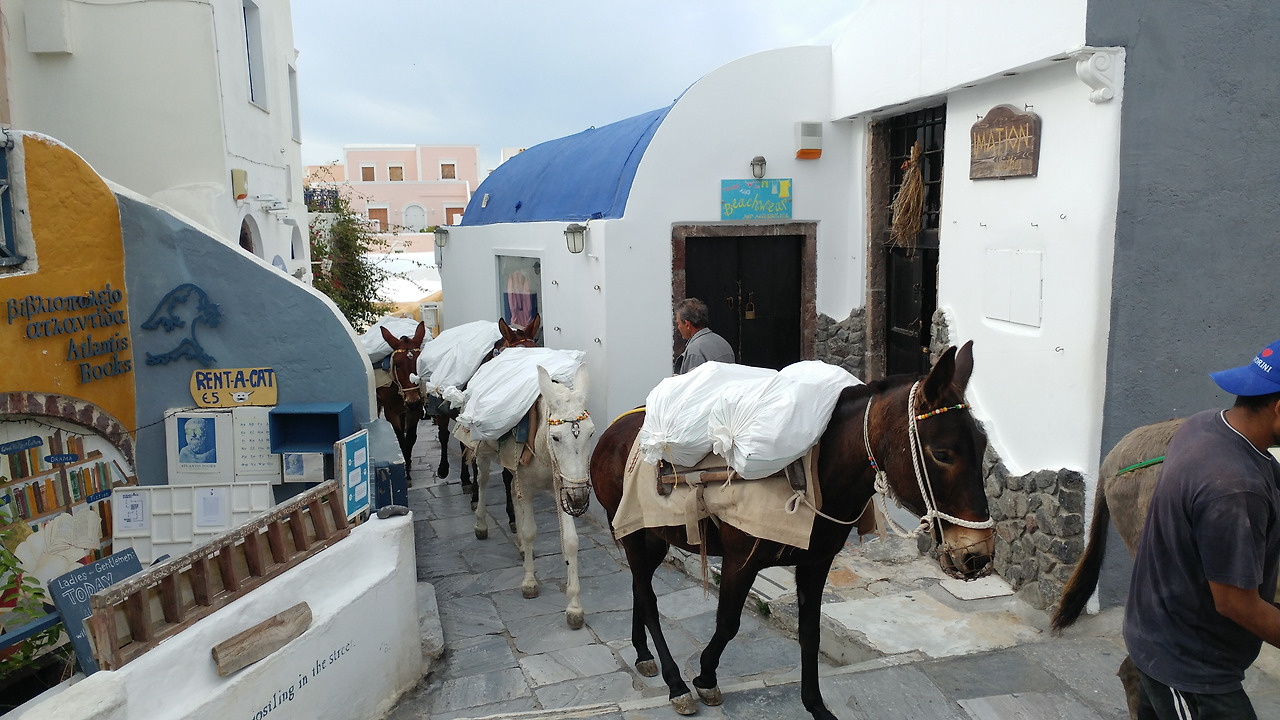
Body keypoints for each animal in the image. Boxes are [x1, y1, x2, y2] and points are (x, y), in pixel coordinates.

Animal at [374, 321, 427, 483]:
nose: (412, 401)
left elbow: (410, 438)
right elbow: (400, 439)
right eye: (397, 364)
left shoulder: (415, 411)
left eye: (420, 362)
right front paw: (404, 472)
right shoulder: (391, 412)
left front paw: (408, 466)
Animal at [471, 362, 594, 629]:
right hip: (483, 451)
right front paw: (529, 582)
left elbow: (570, 541)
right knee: (483, 480)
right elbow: (529, 531)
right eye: (556, 437)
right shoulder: (528, 486)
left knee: (511, 491)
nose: (580, 498)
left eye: (591, 434)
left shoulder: (562, 487)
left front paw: (574, 606)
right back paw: (481, 524)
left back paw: (518, 545)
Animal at [589, 343, 993, 719]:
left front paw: (816, 706)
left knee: (639, 587)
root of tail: (613, 430)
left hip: (654, 536)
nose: (978, 554)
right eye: (942, 453)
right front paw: (704, 678)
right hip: (629, 530)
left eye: (983, 445)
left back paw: (643, 654)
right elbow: (728, 623)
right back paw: (675, 683)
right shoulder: (740, 561)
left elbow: (810, 632)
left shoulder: (816, 564)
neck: (811, 473)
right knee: (648, 597)